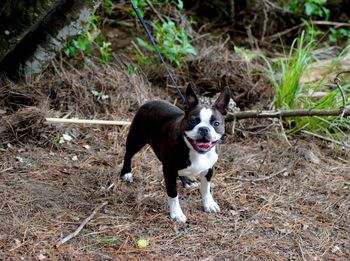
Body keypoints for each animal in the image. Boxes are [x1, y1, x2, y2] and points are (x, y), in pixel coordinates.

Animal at [120, 84, 230, 221]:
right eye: (193, 121)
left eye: (216, 124)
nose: (204, 129)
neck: (195, 152)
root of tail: (150, 101)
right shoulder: (169, 171)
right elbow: (173, 194)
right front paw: (176, 213)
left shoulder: (209, 169)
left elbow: (206, 189)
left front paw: (208, 204)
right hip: (136, 139)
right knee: (128, 154)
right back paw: (126, 173)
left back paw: (187, 181)